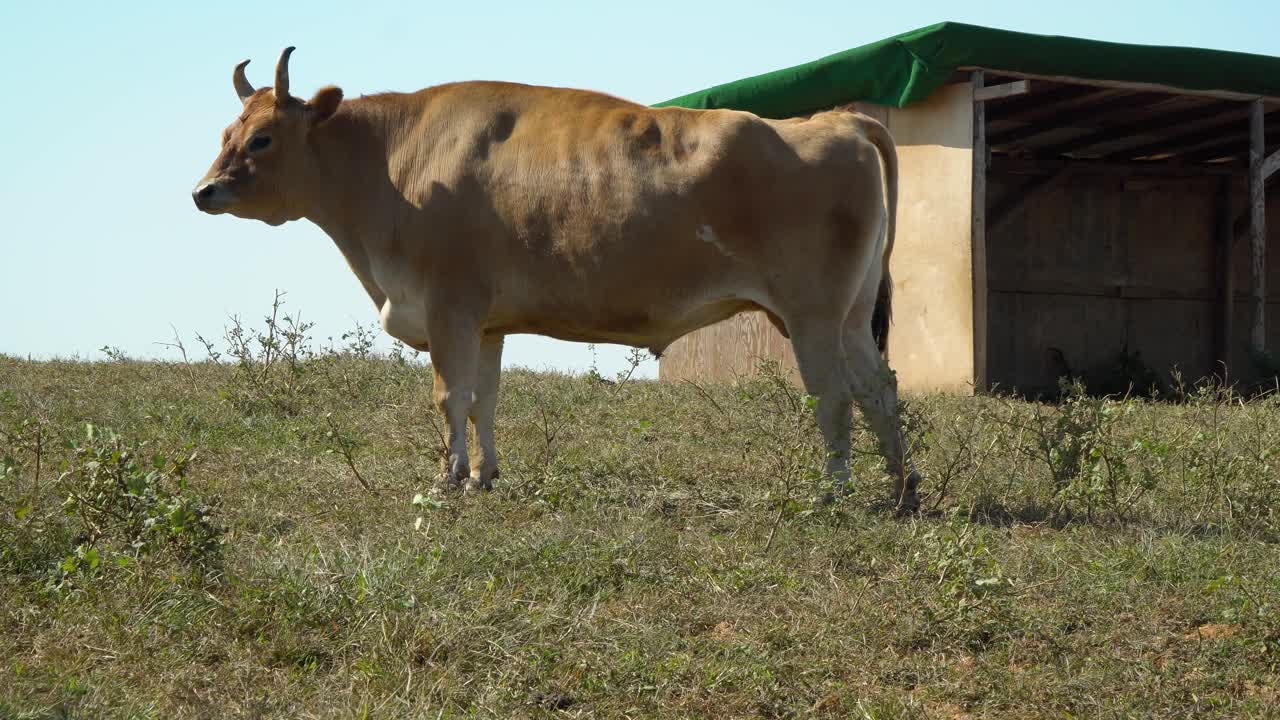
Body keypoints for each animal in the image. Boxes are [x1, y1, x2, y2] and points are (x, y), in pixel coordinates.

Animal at [192, 48, 922, 512]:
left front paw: (447, 482)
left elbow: (449, 396)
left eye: (262, 138)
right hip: (852, 317)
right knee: (879, 391)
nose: (203, 192)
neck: (393, 164)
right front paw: (483, 477)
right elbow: (483, 399)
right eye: (227, 131)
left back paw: (834, 492)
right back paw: (902, 489)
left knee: (833, 396)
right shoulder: (486, 321)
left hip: (812, 315)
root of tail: (837, 120)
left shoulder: (449, 307)